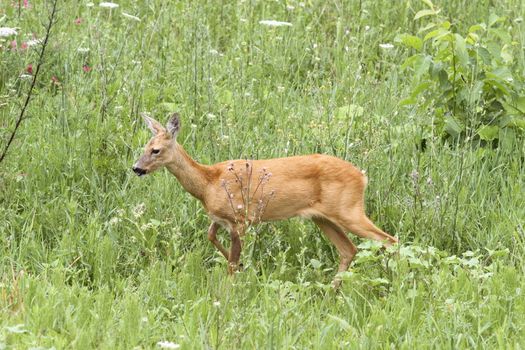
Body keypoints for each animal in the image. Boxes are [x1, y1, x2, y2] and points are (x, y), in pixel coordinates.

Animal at [132, 112, 398, 288]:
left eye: (156, 150)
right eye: (144, 147)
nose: (136, 168)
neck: (208, 183)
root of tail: (362, 176)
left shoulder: (240, 218)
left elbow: (231, 261)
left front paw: (231, 286)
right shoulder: (220, 218)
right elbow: (211, 236)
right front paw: (242, 269)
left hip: (349, 210)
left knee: (389, 240)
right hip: (323, 218)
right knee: (349, 249)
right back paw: (333, 291)